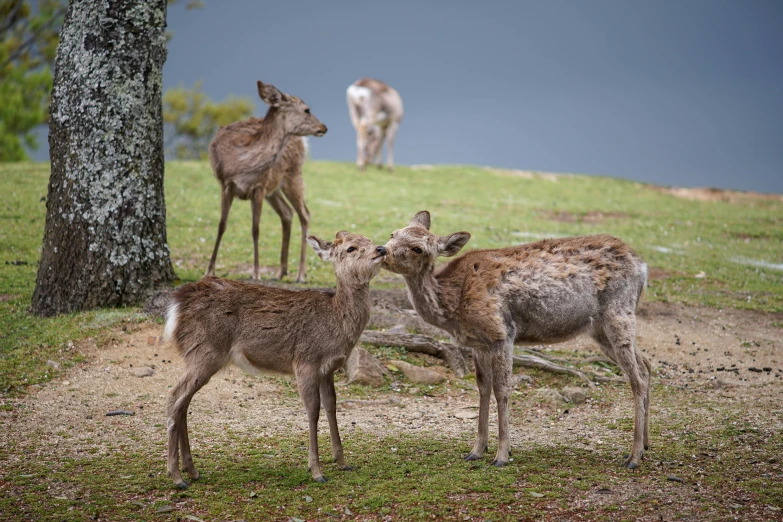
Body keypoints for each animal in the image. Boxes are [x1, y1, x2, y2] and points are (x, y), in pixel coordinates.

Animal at [165, 232, 388, 488]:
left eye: (369, 240)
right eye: (351, 248)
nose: (381, 249)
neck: (336, 323)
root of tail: (177, 305)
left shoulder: (328, 369)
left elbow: (331, 406)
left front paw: (342, 462)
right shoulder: (305, 361)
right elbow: (313, 410)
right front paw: (316, 470)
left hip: (198, 356)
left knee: (183, 402)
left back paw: (191, 470)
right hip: (205, 352)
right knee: (174, 397)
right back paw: (176, 475)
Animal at [205, 80, 328, 282]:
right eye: (307, 110)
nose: (324, 127)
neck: (242, 162)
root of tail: (303, 142)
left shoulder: (259, 187)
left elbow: (255, 229)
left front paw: (256, 273)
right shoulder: (226, 184)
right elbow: (221, 225)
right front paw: (209, 270)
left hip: (293, 175)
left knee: (305, 214)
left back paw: (301, 274)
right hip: (275, 188)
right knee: (287, 213)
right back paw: (280, 272)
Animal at [382, 210, 652, 468]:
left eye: (418, 249)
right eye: (393, 233)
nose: (383, 250)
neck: (453, 303)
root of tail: (642, 266)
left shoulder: (501, 333)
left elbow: (502, 390)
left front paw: (502, 454)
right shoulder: (478, 344)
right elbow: (483, 389)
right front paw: (476, 450)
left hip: (618, 311)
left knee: (636, 378)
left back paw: (633, 456)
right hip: (600, 330)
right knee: (647, 365)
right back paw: (647, 445)